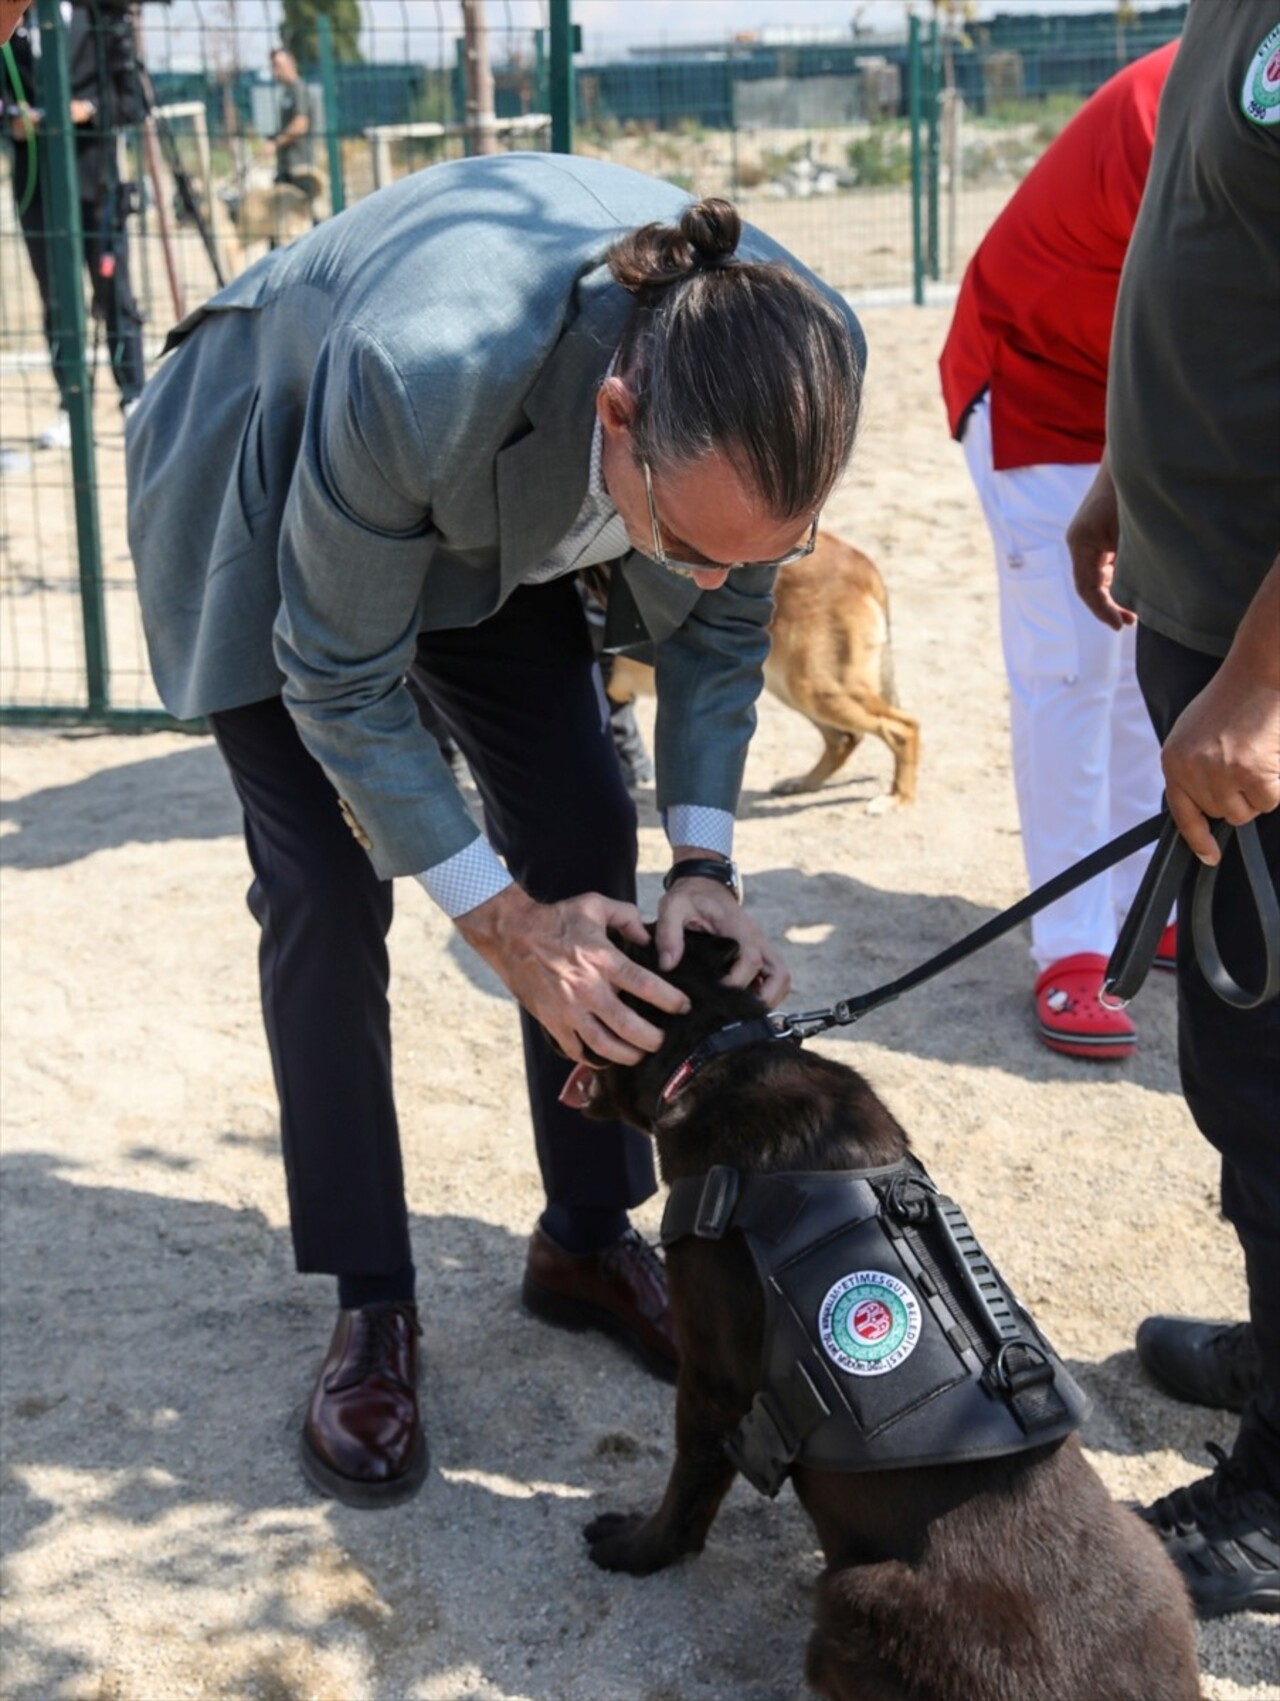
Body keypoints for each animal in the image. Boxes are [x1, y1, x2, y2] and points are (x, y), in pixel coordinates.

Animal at [568, 932, 1198, 1701]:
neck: (721, 1051)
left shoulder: (710, 1379)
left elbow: (687, 1491)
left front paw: (636, 1547)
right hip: (1148, 1549)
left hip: (854, 1596)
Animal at [602, 537, 919, 816]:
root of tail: (860, 561)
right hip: (792, 688)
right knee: (844, 738)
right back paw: (803, 783)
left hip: (814, 688)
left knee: (903, 728)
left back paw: (897, 798)